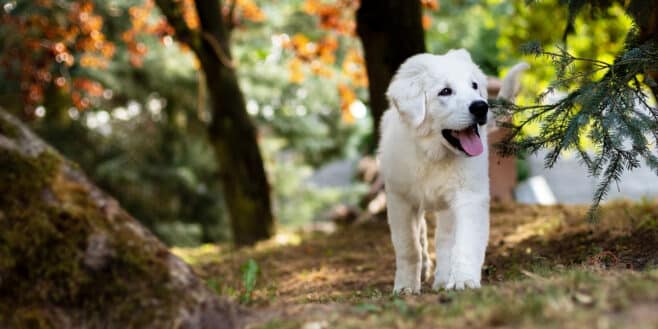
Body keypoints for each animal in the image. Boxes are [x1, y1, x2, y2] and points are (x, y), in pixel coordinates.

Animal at [376, 49, 524, 292]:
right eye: (445, 91)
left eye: (474, 85)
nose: (481, 106)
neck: (433, 155)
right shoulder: (400, 199)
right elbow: (408, 246)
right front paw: (406, 286)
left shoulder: (469, 196)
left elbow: (464, 242)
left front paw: (464, 280)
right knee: (423, 235)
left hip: (448, 206)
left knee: (445, 240)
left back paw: (444, 279)